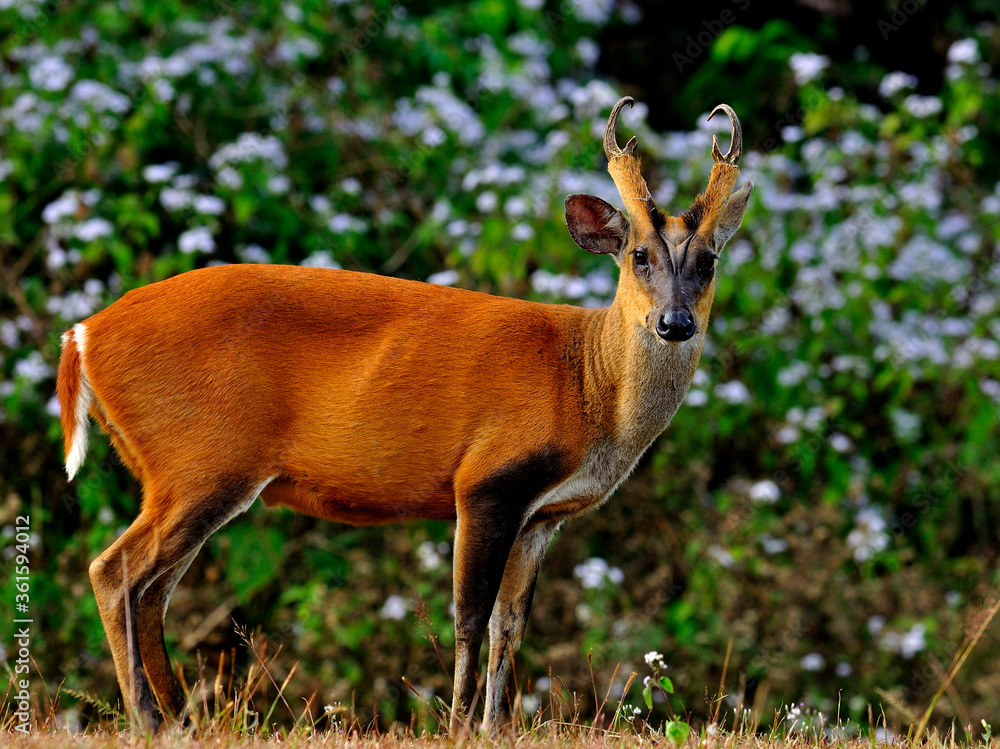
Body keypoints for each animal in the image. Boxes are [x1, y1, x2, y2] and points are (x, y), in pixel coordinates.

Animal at [56, 96, 752, 732]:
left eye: (709, 260)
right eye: (638, 255)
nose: (675, 323)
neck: (586, 381)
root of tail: (82, 336)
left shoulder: (541, 516)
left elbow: (510, 627)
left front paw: (495, 729)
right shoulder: (487, 479)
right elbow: (470, 618)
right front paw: (459, 728)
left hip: (181, 470)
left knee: (152, 589)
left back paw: (179, 721)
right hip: (201, 458)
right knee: (115, 571)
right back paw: (151, 722)